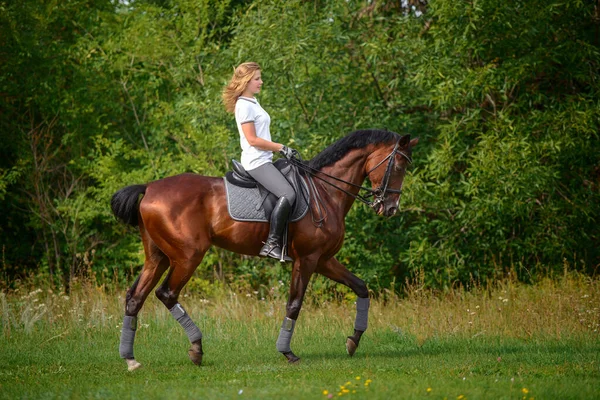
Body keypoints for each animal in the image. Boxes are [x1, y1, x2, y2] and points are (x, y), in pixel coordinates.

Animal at [111, 130, 418, 370]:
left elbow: (361, 287)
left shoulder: (323, 259)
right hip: (188, 256)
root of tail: (149, 188)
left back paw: (130, 358)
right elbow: (294, 303)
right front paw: (287, 352)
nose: (390, 208)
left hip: (158, 258)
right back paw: (196, 348)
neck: (324, 192)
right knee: (166, 293)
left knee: (135, 298)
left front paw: (353, 341)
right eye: (400, 165)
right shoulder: (307, 259)